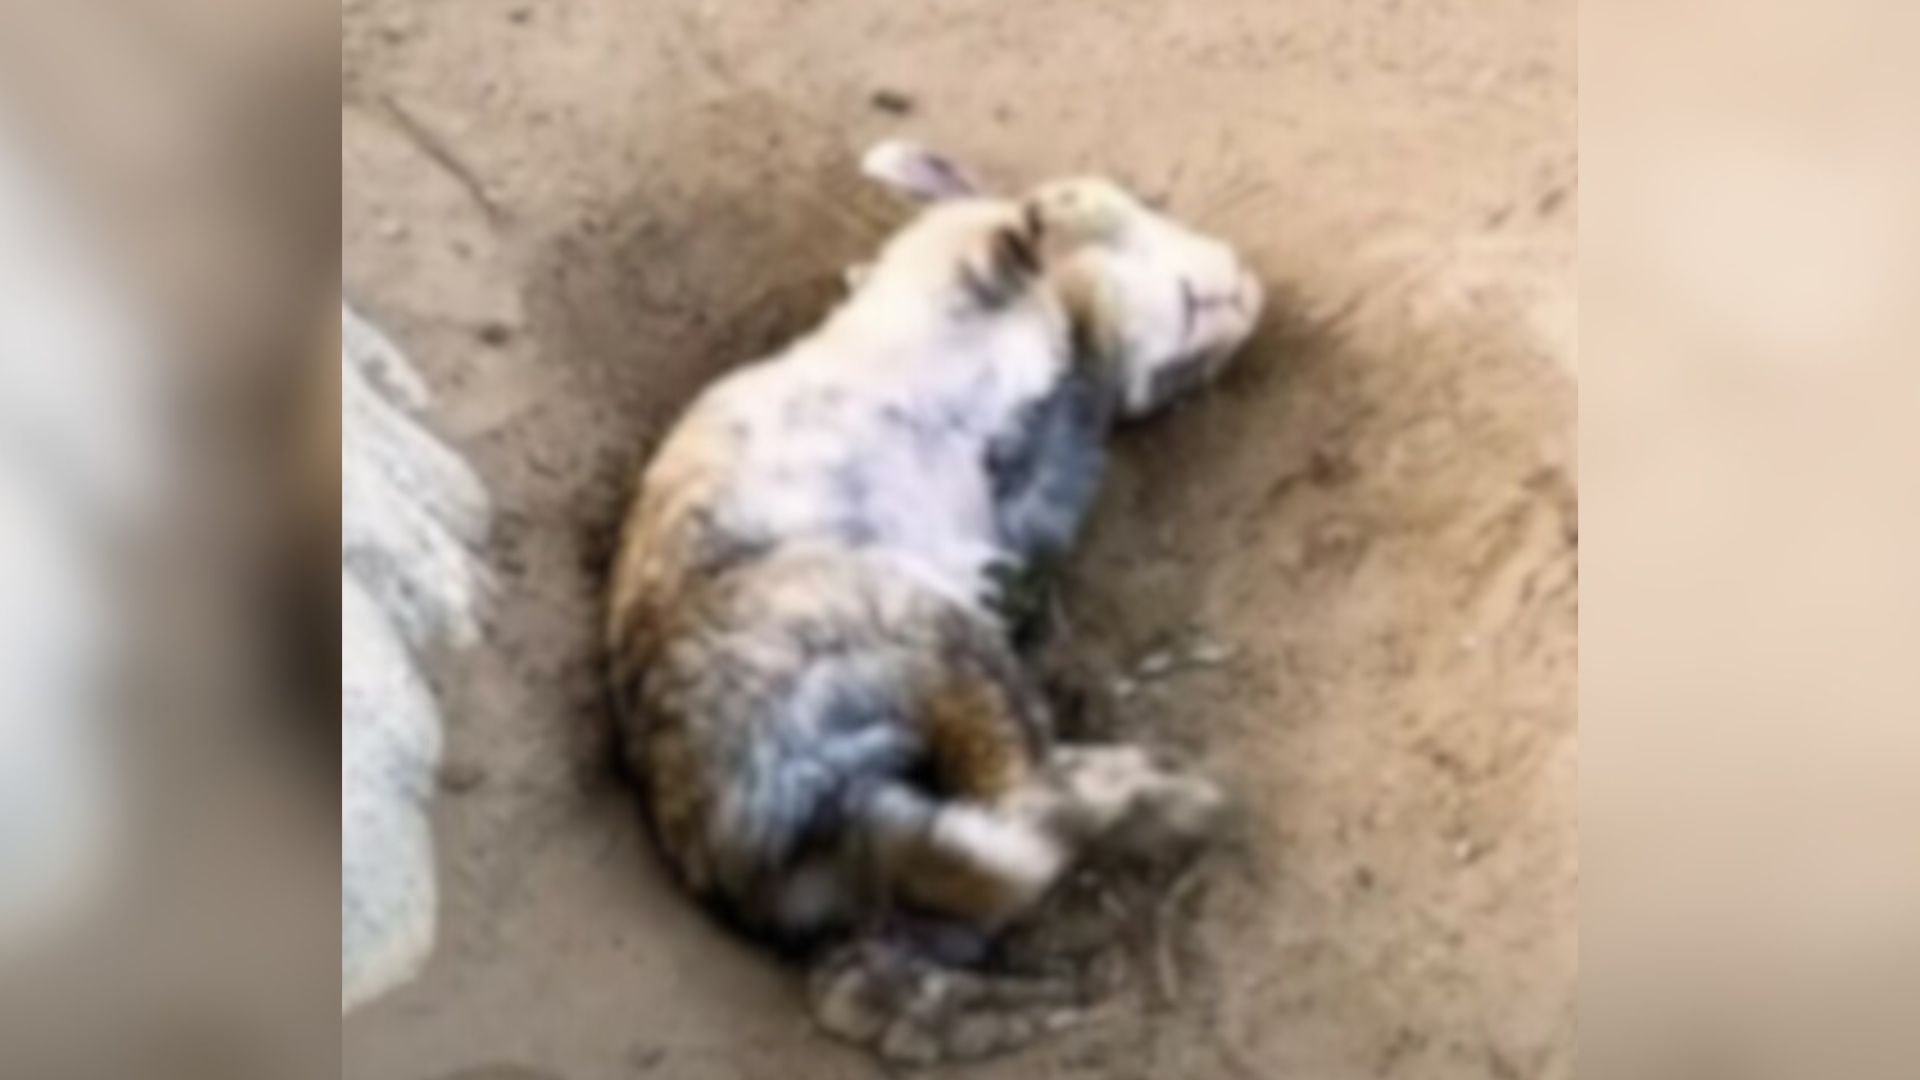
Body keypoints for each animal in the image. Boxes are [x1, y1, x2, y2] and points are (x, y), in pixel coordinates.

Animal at [605, 141, 1263, 1063]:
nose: (1245, 281)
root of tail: (735, 839)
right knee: (1019, 794)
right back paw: (1173, 794)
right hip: (917, 630)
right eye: (1097, 201)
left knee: (886, 967)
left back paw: (1063, 992)